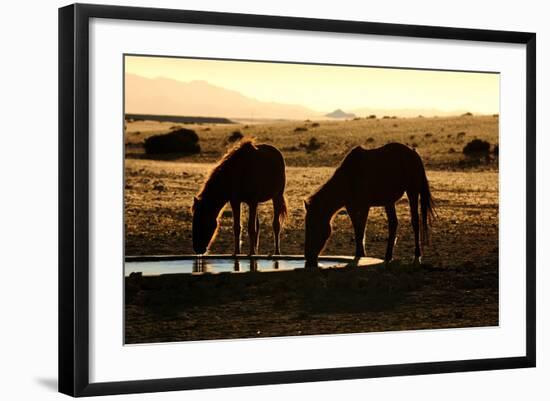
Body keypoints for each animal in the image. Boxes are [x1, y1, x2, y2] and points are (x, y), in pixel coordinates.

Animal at [304, 142, 438, 268]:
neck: (349, 177)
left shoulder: (364, 206)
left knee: (415, 221)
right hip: (389, 201)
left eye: (313, 225)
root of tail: (413, 153)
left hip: (412, 192)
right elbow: (358, 230)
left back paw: (416, 258)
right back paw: (388, 257)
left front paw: (361, 257)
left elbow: (361, 230)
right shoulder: (351, 208)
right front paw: (360, 255)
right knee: (393, 223)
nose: (308, 257)